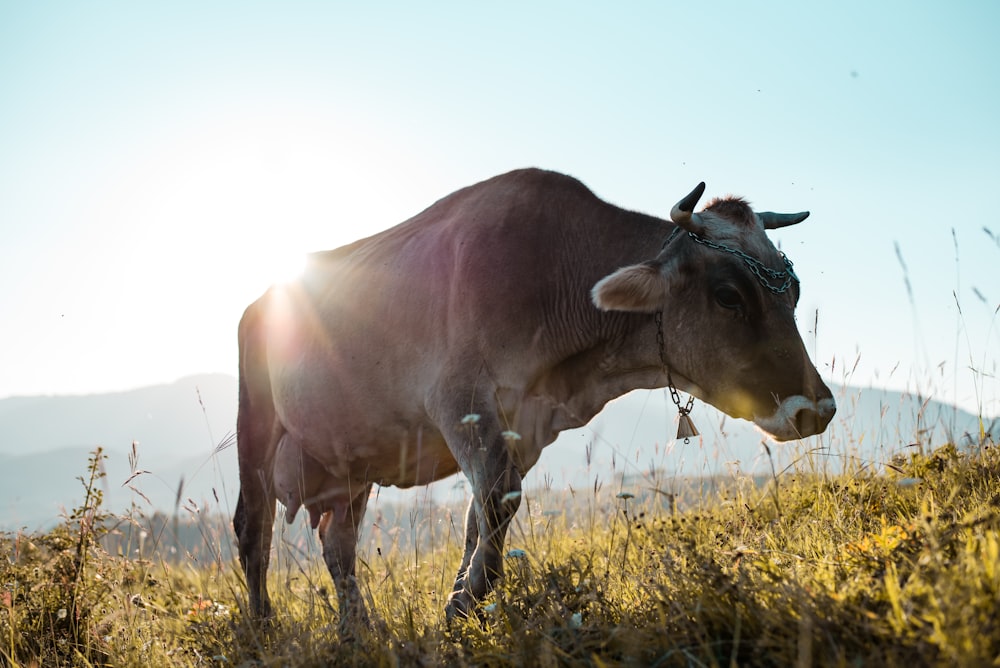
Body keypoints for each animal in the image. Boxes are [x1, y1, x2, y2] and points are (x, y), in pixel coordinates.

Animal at [234, 167, 836, 632]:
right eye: (729, 295)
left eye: (793, 289)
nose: (818, 408)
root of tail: (262, 301)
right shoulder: (460, 401)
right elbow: (496, 503)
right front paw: (461, 607)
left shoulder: (525, 425)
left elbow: (483, 516)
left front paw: (463, 603)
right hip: (257, 426)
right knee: (253, 528)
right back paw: (263, 628)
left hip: (350, 455)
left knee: (338, 542)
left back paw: (358, 630)